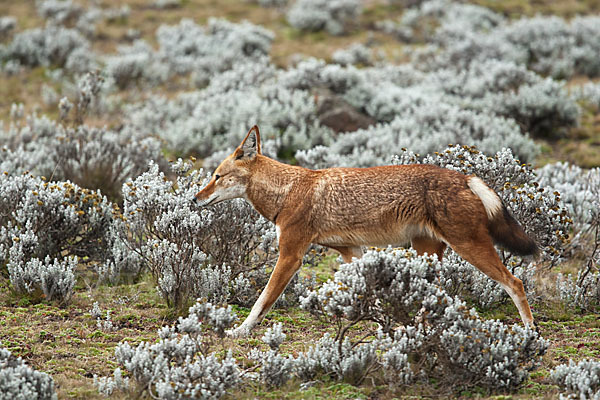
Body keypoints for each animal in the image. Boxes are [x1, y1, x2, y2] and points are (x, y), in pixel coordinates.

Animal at [193, 126, 540, 338]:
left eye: (217, 176)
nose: (194, 199)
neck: (288, 191)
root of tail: (466, 177)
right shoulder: (352, 252)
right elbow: (369, 296)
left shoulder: (291, 256)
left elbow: (262, 300)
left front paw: (240, 330)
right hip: (429, 253)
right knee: (436, 296)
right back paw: (416, 331)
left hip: (469, 248)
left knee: (515, 283)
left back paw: (530, 333)